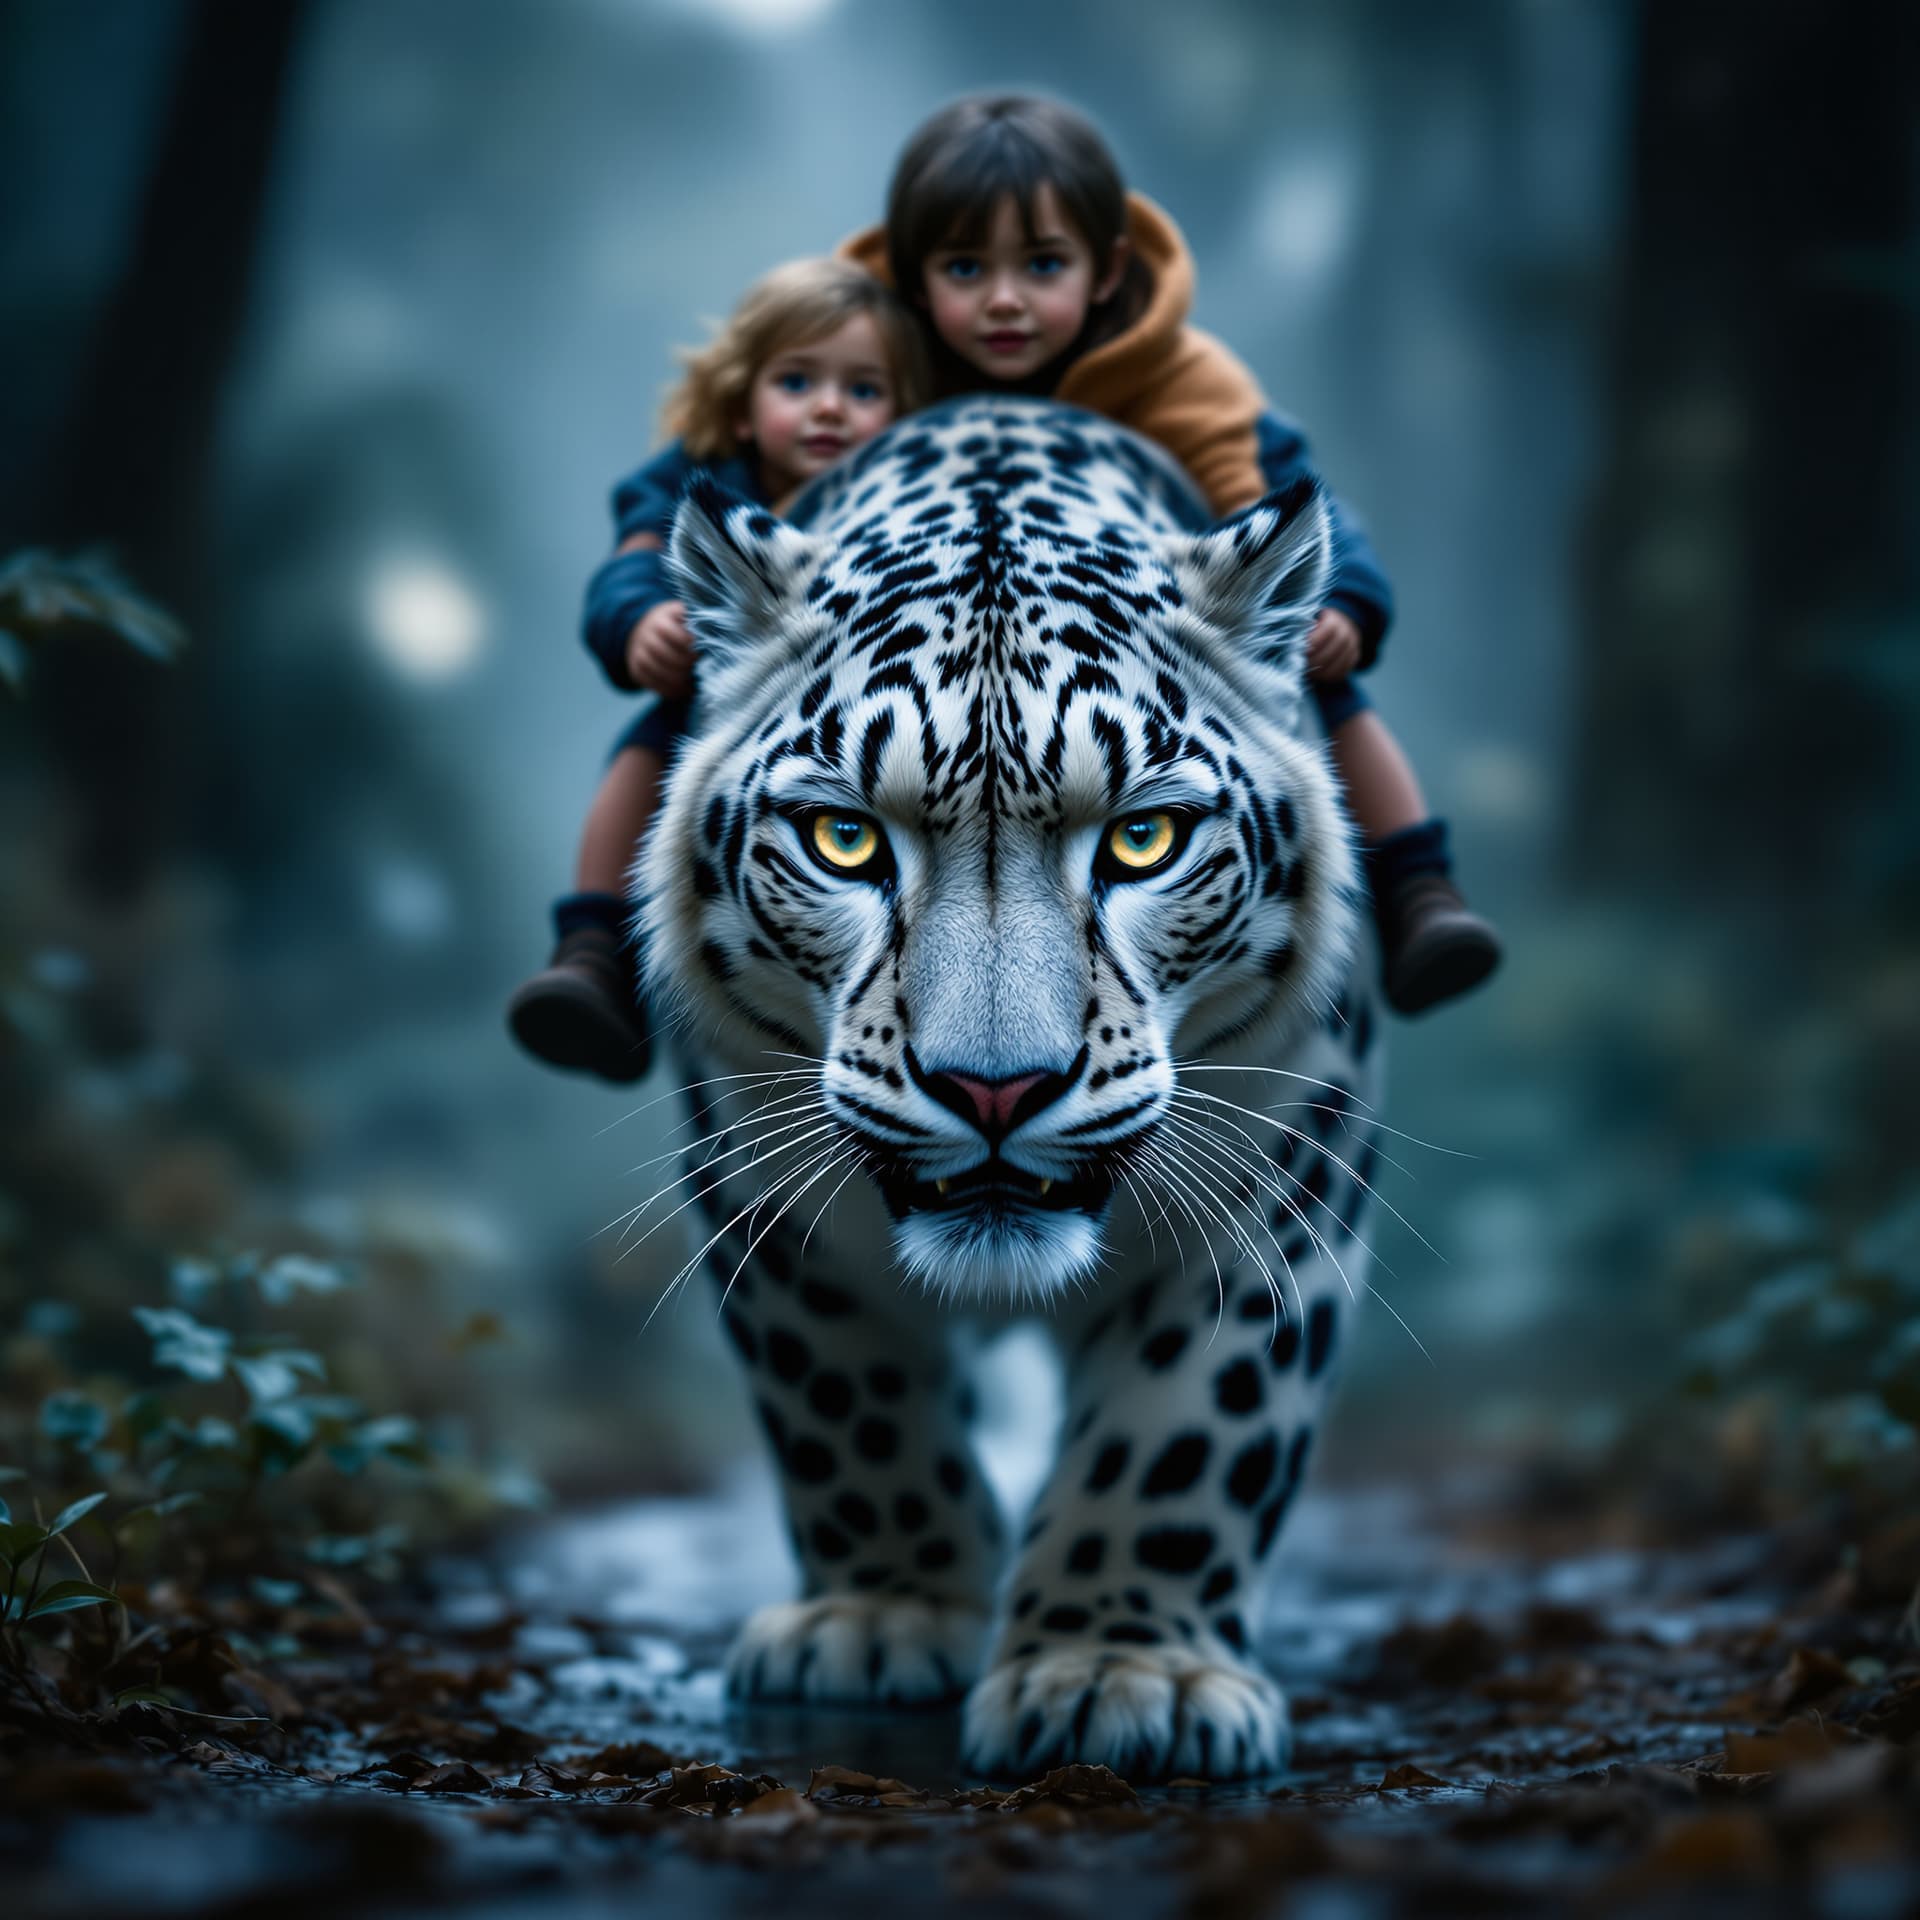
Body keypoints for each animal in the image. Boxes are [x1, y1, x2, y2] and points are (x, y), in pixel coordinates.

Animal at [634, 394, 1383, 1782]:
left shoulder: (1291, 1160)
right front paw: (881, 1619)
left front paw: (1121, 1674)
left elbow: (1190, 1425)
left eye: (1145, 838)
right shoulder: (756, 1178)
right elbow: (844, 1402)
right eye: (844, 840)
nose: (995, 1090)